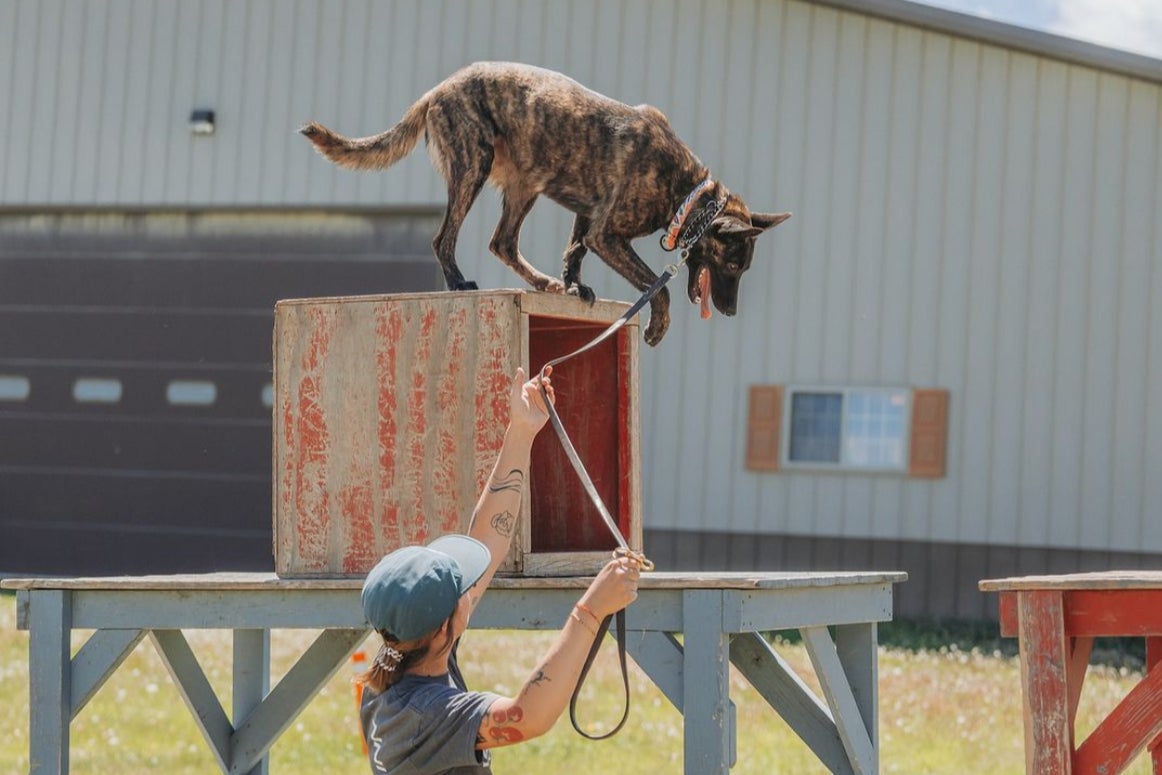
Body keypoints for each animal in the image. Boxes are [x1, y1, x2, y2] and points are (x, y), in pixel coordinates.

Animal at [299, 62, 790, 346]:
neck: (687, 194)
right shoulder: (607, 233)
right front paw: (655, 326)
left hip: (525, 184)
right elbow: (659, 285)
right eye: (733, 267)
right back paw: (458, 282)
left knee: (502, 242)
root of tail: (438, 89)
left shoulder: (589, 216)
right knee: (444, 238)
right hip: (473, 165)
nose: (730, 312)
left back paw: (541, 283)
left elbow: (574, 251)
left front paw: (572, 287)